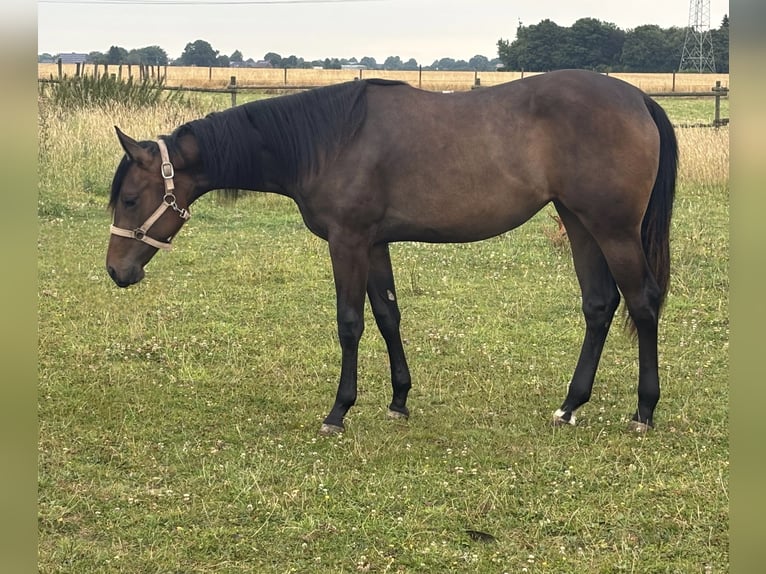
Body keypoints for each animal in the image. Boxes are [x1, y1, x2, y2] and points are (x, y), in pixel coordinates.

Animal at [106, 70, 677, 435]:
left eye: (131, 198)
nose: (116, 271)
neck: (330, 141)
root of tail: (637, 100)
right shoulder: (375, 243)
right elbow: (387, 316)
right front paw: (399, 400)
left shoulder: (348, 241)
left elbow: (350, 323)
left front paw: (338, 411)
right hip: (579, 222)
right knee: (599, 305)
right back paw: (569, 405)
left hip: (612, 228)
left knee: (643, 303)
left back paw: (643, 412)